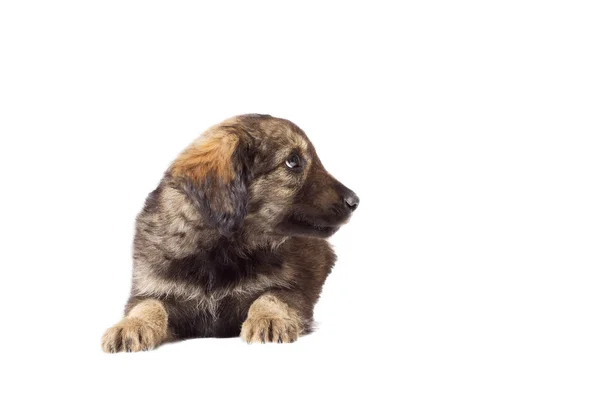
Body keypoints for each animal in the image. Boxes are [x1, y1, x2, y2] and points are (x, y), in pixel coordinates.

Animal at [101, 114, 358, 350]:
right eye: (293, 161)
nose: (355, 201)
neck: (220, 250)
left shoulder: (291, 290)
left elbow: (270, 298)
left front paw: (269, 319)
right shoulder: (154, 290)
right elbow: (147, 306)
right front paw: (130, 325)